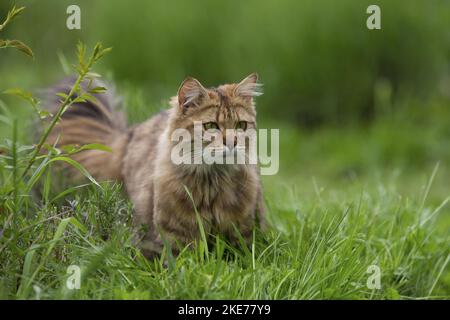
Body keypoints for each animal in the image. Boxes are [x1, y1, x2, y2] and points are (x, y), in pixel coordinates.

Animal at [45, 73, 266, 258]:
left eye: (241, 126)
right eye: (211, 126)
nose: (233, 142)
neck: (212, 184)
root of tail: (129, 132)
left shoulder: (241, 233)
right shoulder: (175, 234)